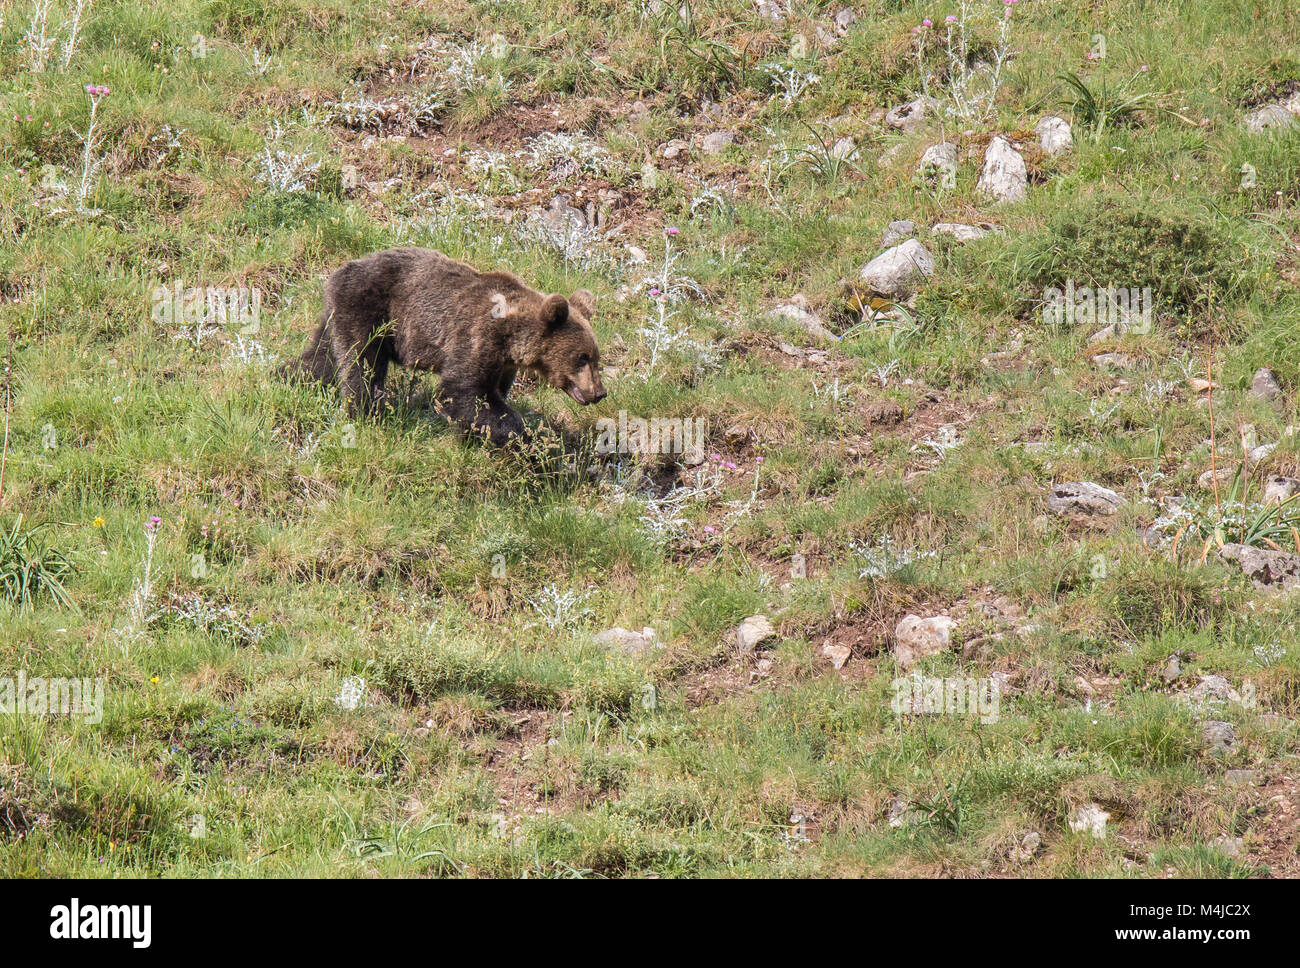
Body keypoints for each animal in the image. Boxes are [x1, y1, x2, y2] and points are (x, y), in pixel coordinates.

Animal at [279, 249, 603, 444]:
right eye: (581, 357)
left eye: (596, 358)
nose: (599, 392)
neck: (511, 337)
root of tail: (340, 270)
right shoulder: (474, 336)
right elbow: (463, 392)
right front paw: (515, 433)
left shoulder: (502, 363)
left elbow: (490, 392)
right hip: (370, 311)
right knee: (362, 364)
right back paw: (365, 412)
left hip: (337, 314)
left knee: (324, 356)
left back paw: (291, 377)